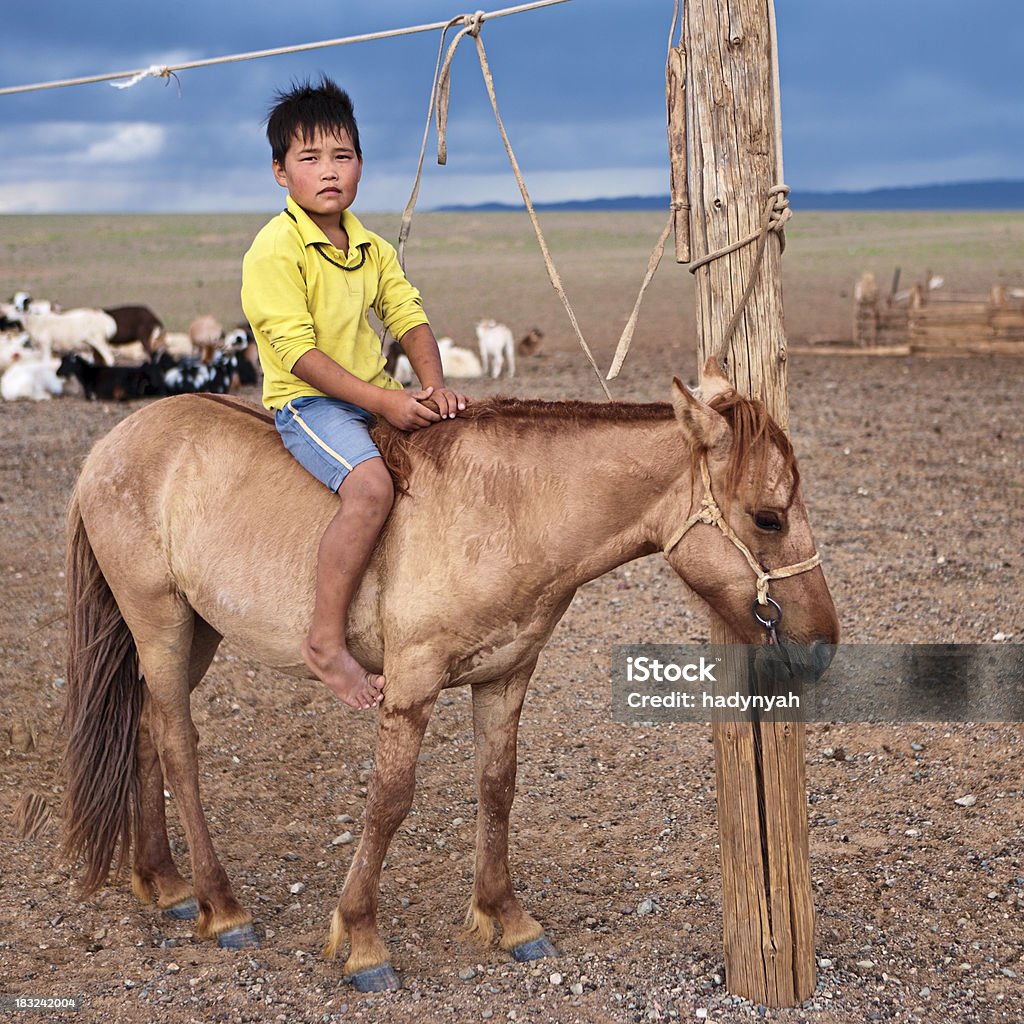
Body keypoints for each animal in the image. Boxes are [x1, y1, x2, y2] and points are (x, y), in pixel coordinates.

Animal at [59, 362, 835, 991]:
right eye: (768, 517)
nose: (823, 644)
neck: (509, 507)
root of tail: (113, 444)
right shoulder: (411, 682)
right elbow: (389, 800)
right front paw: (363, 941)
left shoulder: (507, 676)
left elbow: (497, 788)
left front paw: (507, 919)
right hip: (158, 621)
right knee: (178, 745)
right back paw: (221, 907)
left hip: (196, 631)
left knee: (146, 729)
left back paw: (165, 883)